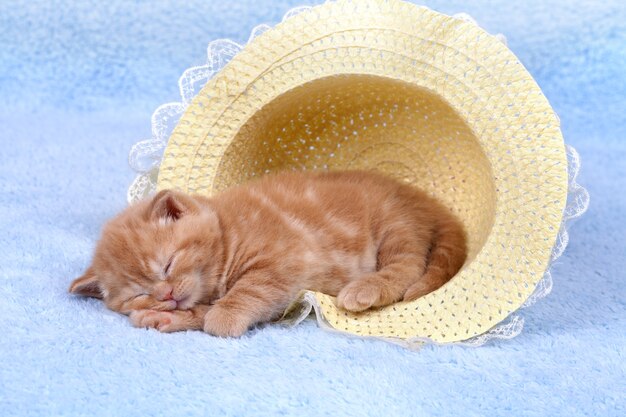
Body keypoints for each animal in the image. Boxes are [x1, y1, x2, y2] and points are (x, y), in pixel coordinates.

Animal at [70, 171, 466, 336]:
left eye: (167, 264)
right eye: (139, 294)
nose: (165, 295)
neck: (229, 231)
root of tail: (419, 197)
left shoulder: (284, 262)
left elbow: (249, 291)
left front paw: (222, 318)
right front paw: (172, 317)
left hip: (394, 226)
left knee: (408, 268)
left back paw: (364, 289)